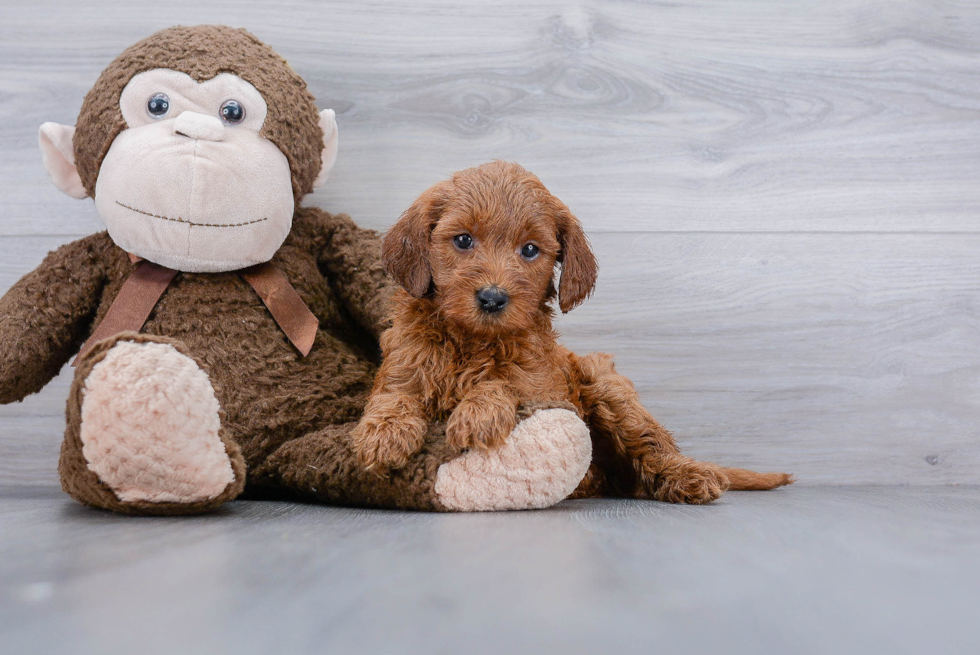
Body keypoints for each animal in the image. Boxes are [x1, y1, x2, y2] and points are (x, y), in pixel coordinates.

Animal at [356, 161, 792, 504]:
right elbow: (394, 396)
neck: (471, 340)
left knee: (654, 447)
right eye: (463, 239)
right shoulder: (402, 367)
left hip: (606, 384)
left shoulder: (544, 388)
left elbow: (505, 382)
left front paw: (478, 412)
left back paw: (689, 475)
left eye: (530, 250)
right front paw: (382, 434)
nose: (493, 298)